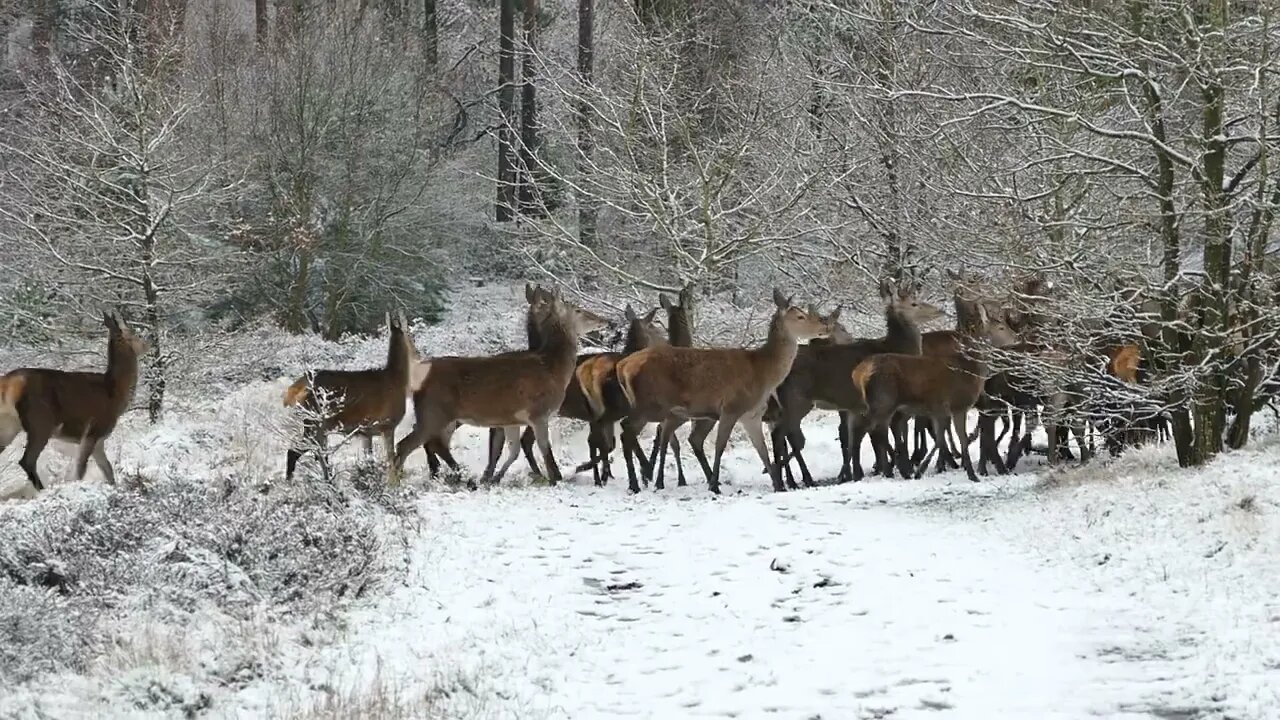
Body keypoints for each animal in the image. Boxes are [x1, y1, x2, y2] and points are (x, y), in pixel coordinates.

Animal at [284, 308, 414, 481]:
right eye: (410, 332)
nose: (417, 351)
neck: (397, 379)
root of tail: (294, 389)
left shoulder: (367, 432)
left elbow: (369, 460)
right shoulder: (387, 424)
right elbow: (391, 460)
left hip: (317, 425)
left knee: (320, 455)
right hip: (314, 420)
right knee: (294, 452)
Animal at [391, 288, 606, 484]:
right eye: (577, 309)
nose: (603, 320)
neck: (554, 369)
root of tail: (417, 376)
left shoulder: (511, 419)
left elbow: (512, 450)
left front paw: (493, 478)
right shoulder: (539, 413)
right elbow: (544, 449)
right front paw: (556, 477)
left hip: (441, 417)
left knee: (430, 444)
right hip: (434, 412)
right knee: (407, 445)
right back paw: (397, 482)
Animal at [616, 288, 834, 489]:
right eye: (800, 316)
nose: (825, 326)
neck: (762, 373)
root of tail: (623, 366)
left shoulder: (752, 415)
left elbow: (762, 451)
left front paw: (777, 484)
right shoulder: (731, 407)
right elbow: (720, 446)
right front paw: (714, 485)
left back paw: (644, 479)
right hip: (651, 405)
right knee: (628, 430)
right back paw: (638, 481)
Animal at [757, 278, 952, 484]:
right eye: (914, 303)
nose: (940, 310)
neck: (896, 348)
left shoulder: (854, 407)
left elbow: (854, 438)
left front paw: (856, 473)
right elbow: (886, 435)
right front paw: (894, 468)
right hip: (796, 400)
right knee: (784, 435)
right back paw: (793, 479)